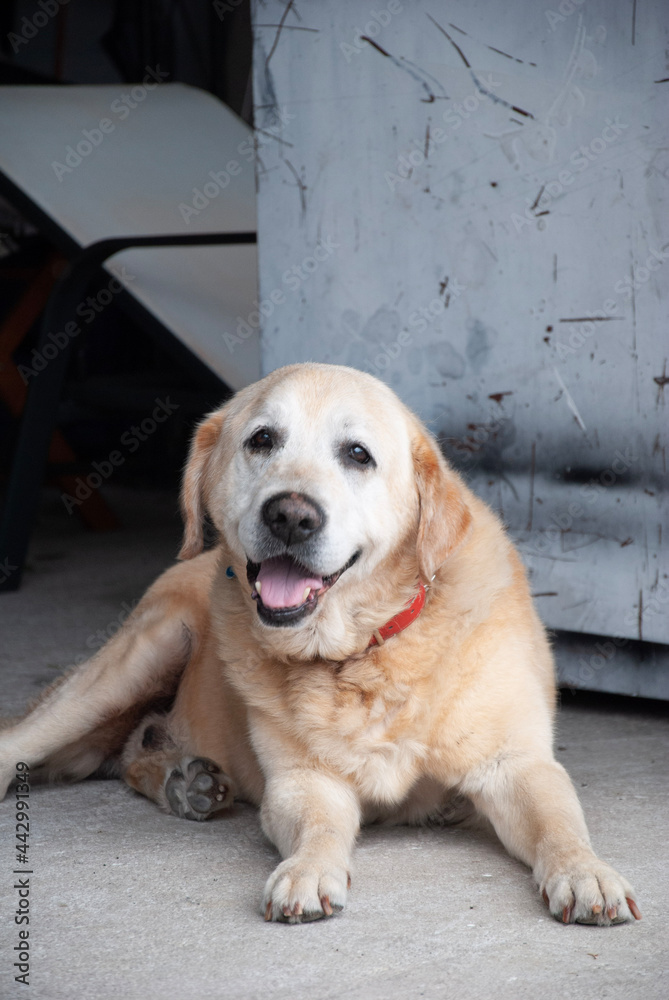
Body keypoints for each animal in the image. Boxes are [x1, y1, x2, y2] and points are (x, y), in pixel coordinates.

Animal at [0, 360, 640, 920]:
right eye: (262, 439)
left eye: (357, 454)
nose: (290, 516)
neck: (362, 653)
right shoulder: (302, 782)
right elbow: (320, 827)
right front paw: (309, 870)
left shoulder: (518, 767)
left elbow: (561, 828)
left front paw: (586, 873)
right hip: (141, 654)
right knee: (24, 743)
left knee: (133, 753)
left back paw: (185, 778)